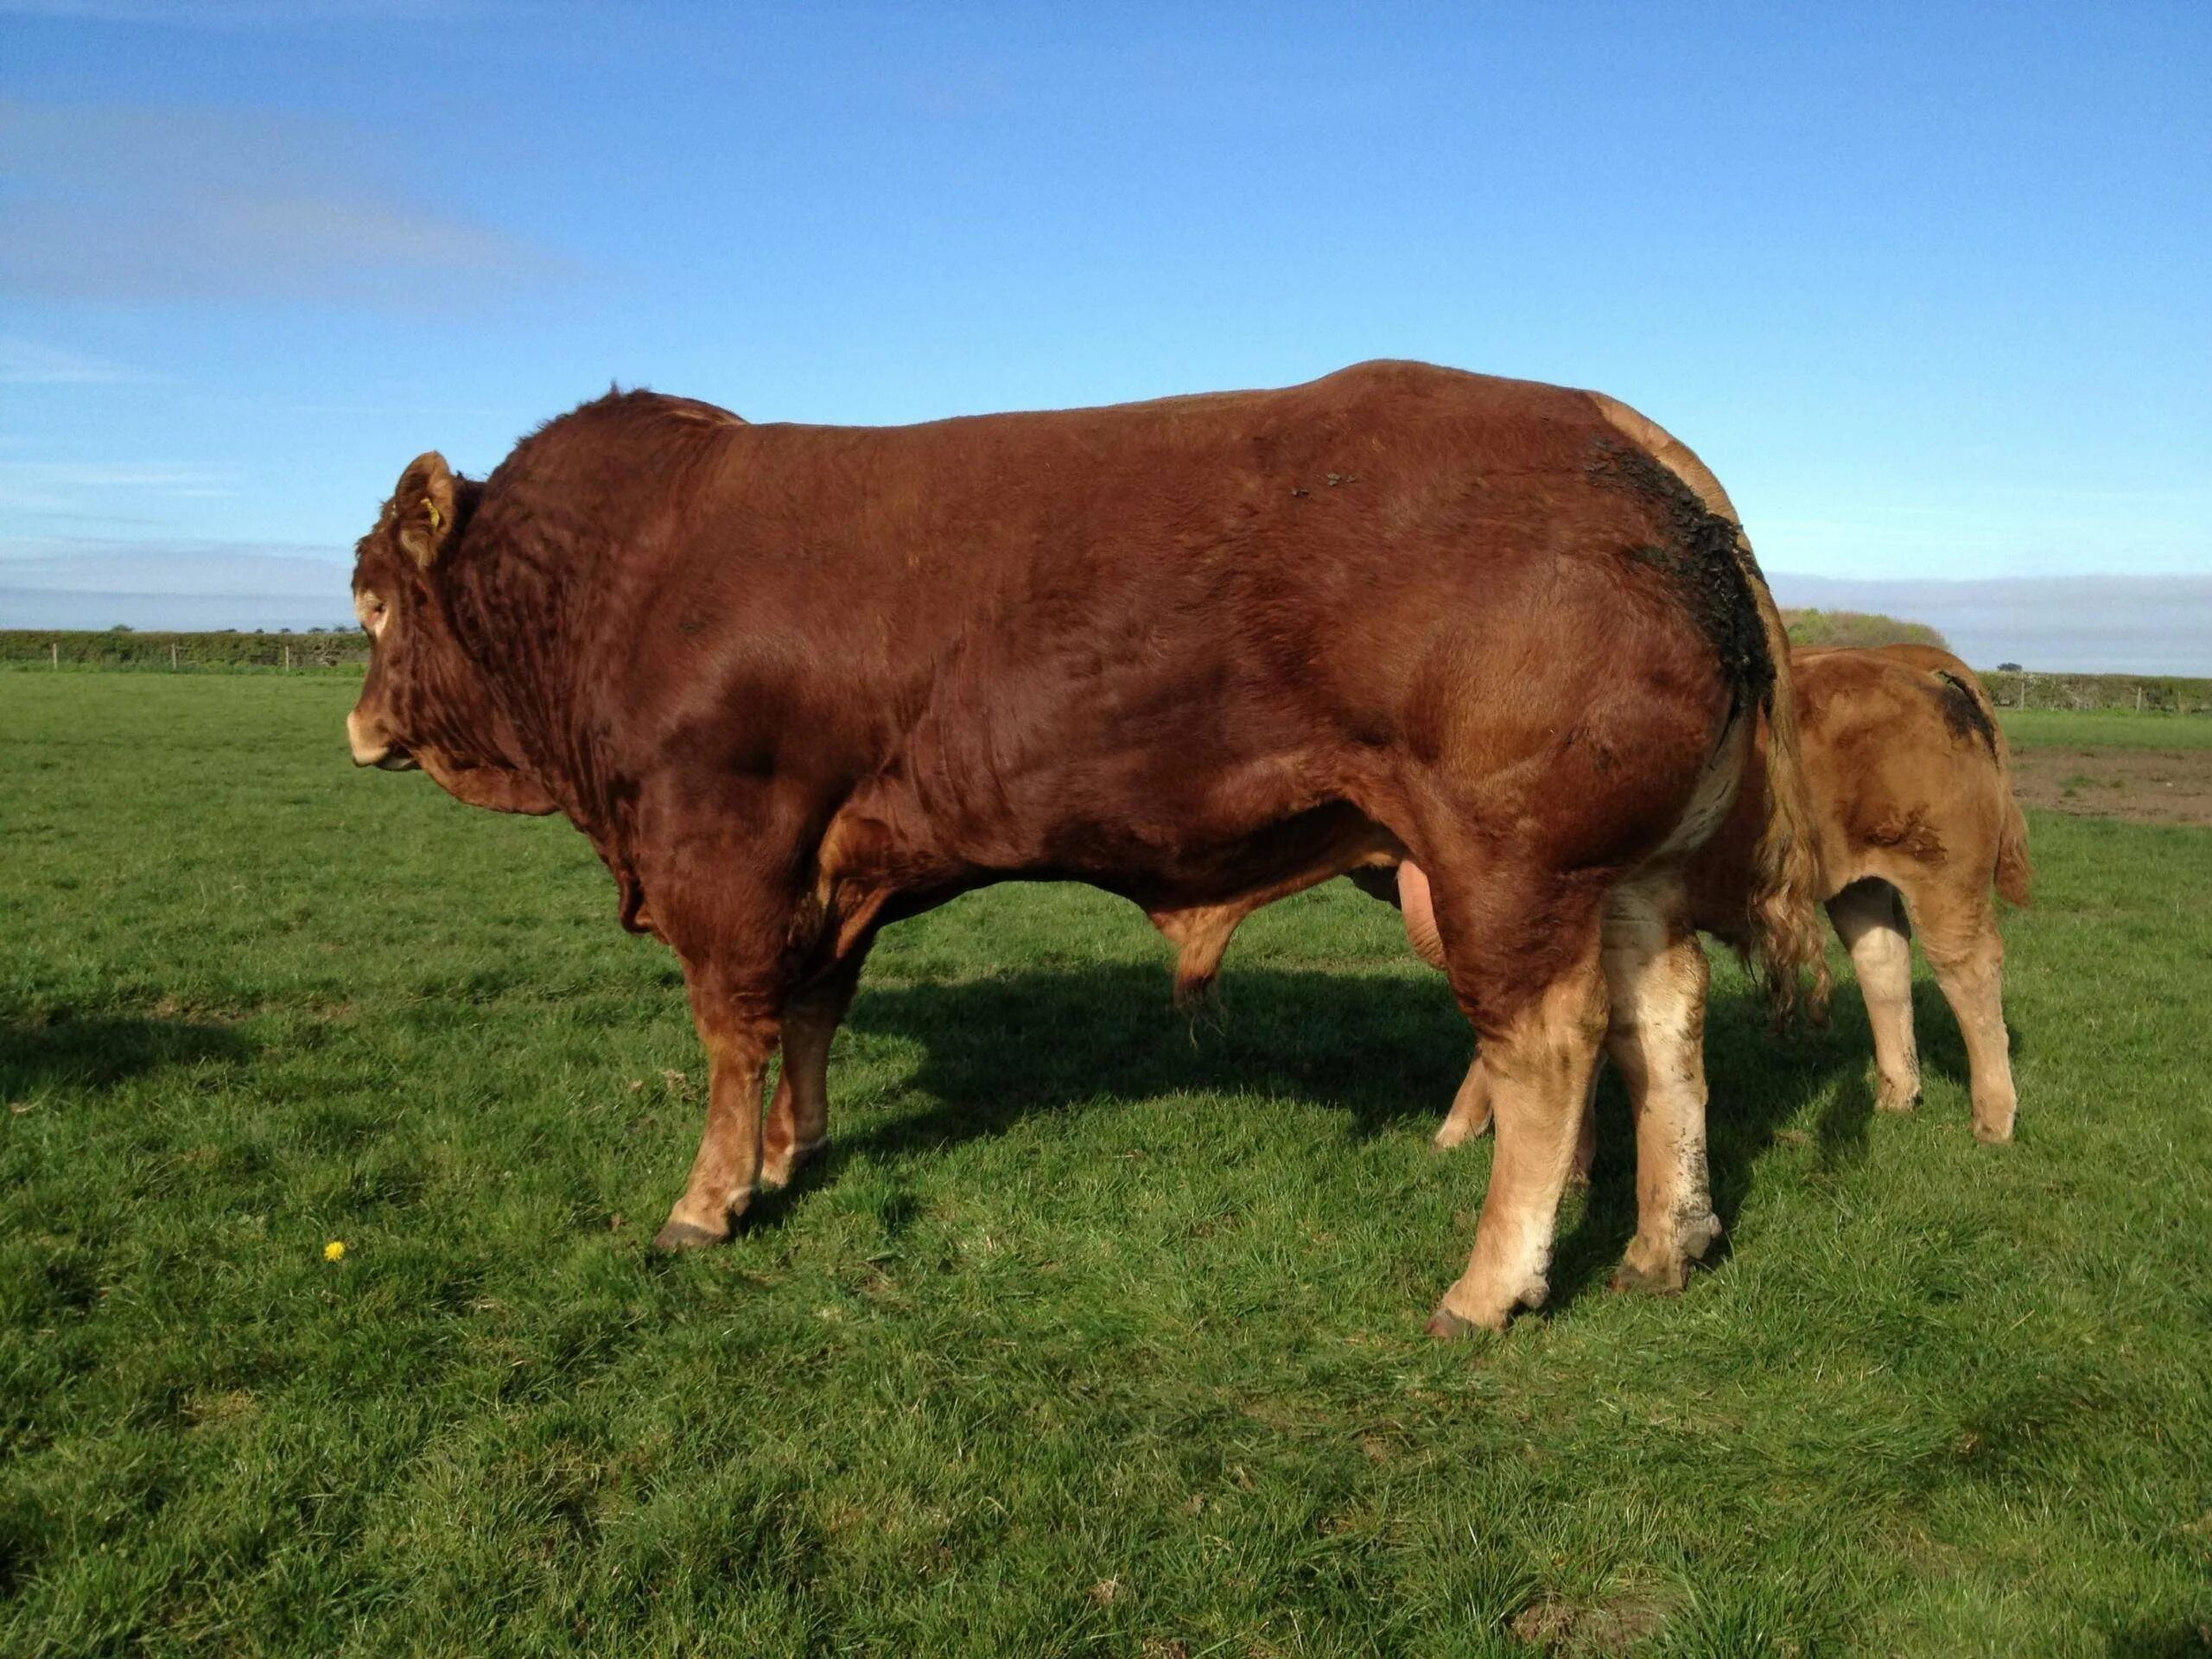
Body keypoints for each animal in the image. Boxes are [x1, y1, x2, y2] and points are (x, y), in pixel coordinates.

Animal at [345, 362, 1822, 1336]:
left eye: (369, 601)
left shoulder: (728, 843)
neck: (628, 576)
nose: (359, 726)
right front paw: (793, 1154)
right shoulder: (837, 866)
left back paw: (1489, 1284)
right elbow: (814, 1010)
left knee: (1551, 1043)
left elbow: (734, 1031)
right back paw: (1666, 1241)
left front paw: (711, 1200)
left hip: (1502, 864)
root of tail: (1613, 427)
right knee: (1663, 1021)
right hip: (1623, 876)